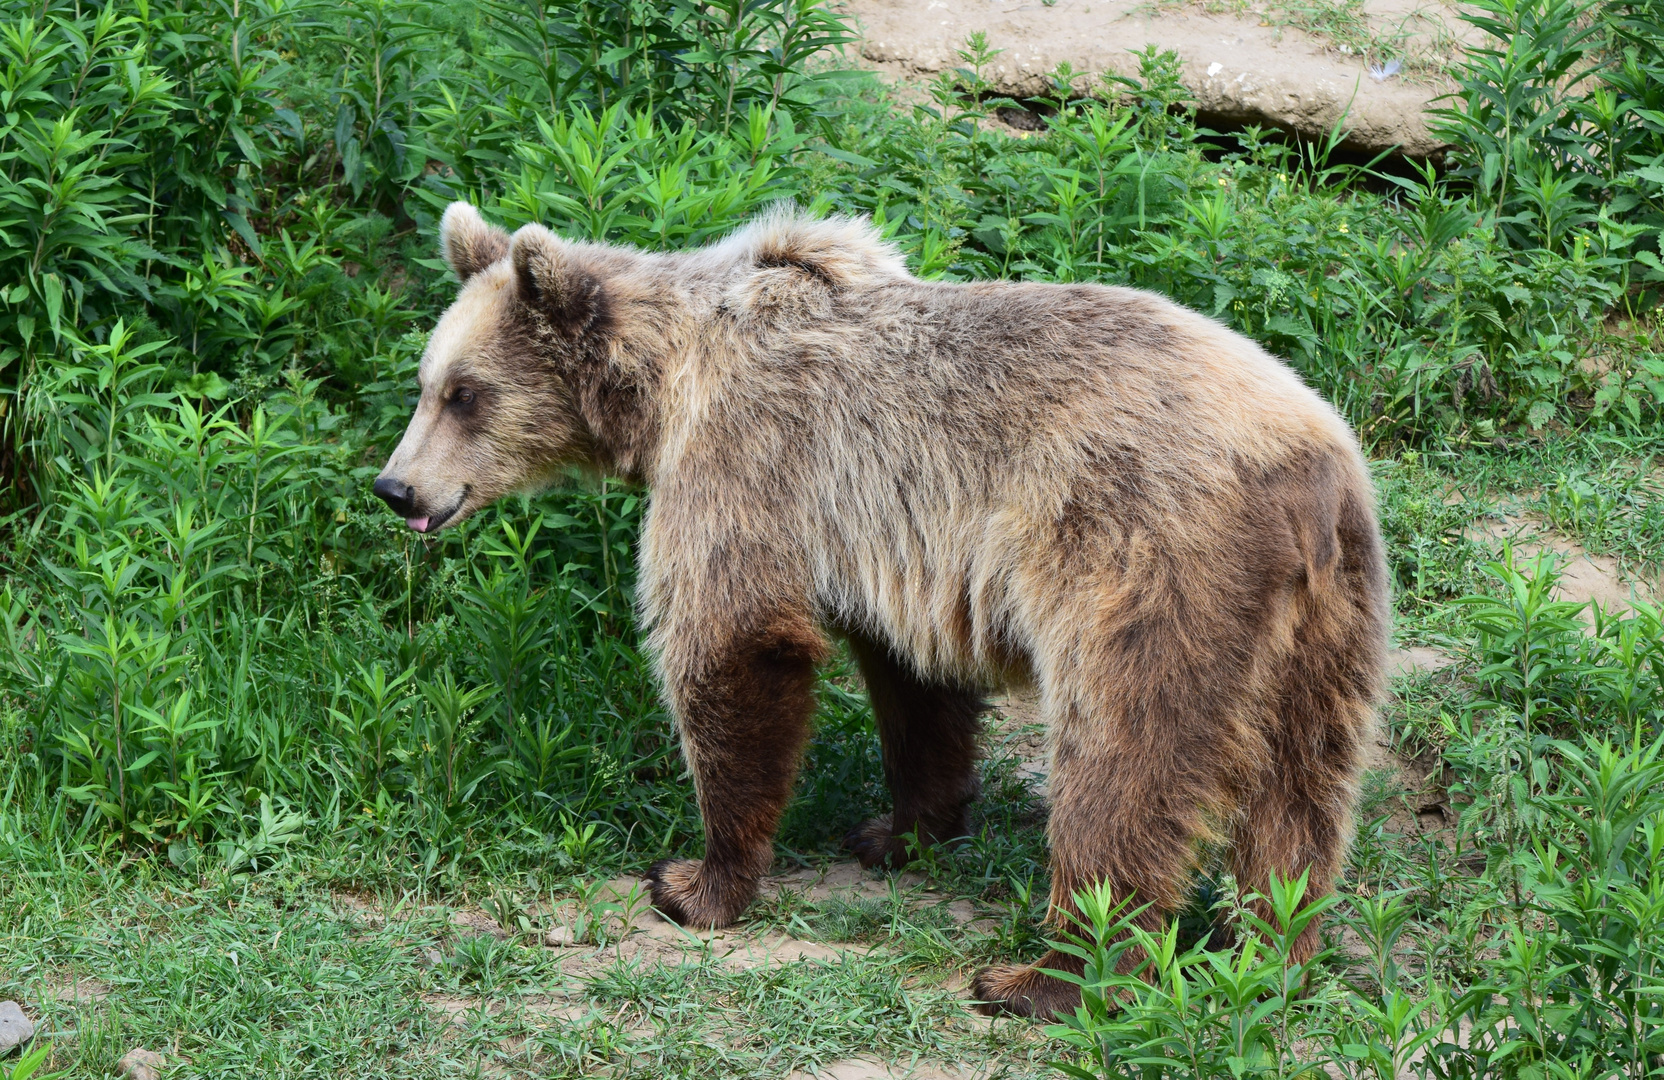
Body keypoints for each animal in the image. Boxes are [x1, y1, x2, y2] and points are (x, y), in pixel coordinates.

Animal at [374, 202, 1391, 1018]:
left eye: (466, 393)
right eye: (424, 383)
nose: (395, 487)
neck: (662, 387)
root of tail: (1307, 471)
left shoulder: (750, 464)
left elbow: (731, 644)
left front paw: (696, 881)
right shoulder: (888, 542)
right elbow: (914, 685)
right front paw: (896, 830)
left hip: (1145, 562)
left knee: (1122, 758)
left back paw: (1046, 975)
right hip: (1329, 617)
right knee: (1305, 788)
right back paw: (1273, 945)